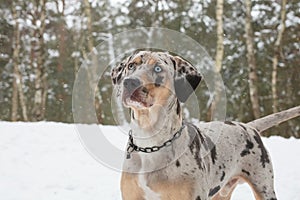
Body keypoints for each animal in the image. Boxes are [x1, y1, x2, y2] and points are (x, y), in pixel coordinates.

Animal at [110, 50, 300, 200]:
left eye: (158, 68)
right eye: (131, 66)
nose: (130, 82)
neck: (151, 142)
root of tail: (249, 126)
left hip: (263, 186)